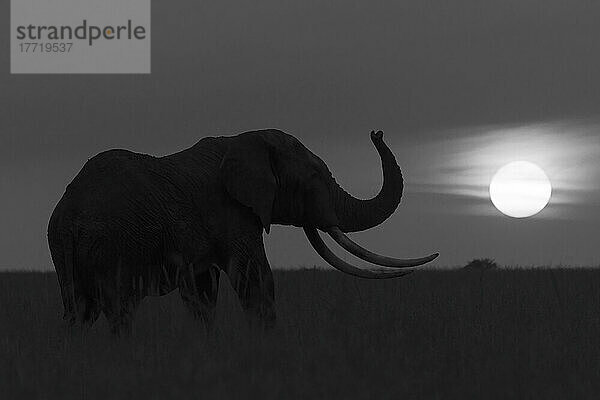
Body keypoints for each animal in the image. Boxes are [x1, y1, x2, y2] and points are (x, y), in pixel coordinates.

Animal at [47, 129, 436, 334]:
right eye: (314, 177)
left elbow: (203, 291)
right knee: (118, 308)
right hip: (111, 245)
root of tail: (69, 214)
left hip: (66, 250)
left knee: (78, 310)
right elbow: (255, 279)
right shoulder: (229, 212)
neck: (244, 139)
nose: (376, 133)